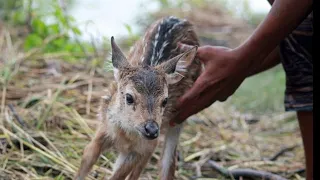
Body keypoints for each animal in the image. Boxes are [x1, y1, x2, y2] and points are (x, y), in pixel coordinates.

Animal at [74, 16, 200, 179]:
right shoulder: (104, 128)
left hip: (179, 118)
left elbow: (119, 175)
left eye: (165, 100)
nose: (151, 129)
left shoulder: (143, 147)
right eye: (129, 97)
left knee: (165, 163)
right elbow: (87, 157)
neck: (126, 134)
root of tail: (181, 19)